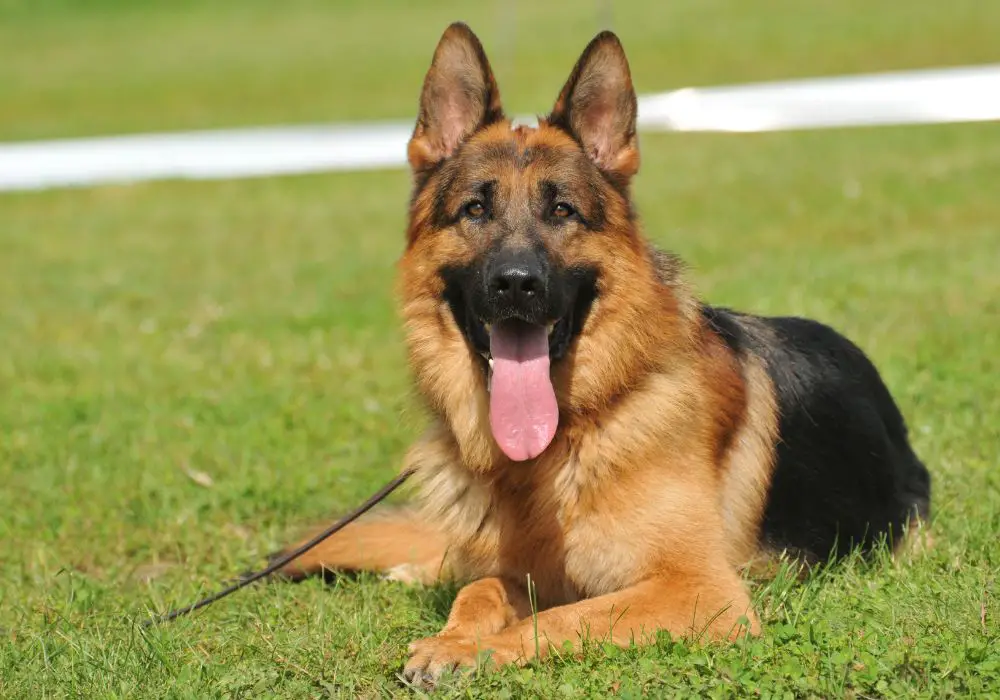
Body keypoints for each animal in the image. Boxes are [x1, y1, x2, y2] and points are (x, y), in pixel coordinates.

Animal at [274, 23, 928, 684]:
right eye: (475, 209)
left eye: (562, 209)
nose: (516, 284)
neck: (567, 438)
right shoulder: (520, 571)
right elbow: (479, 590)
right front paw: (452, 634)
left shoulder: (700, 591)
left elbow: (563, 618)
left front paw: (469, 650)